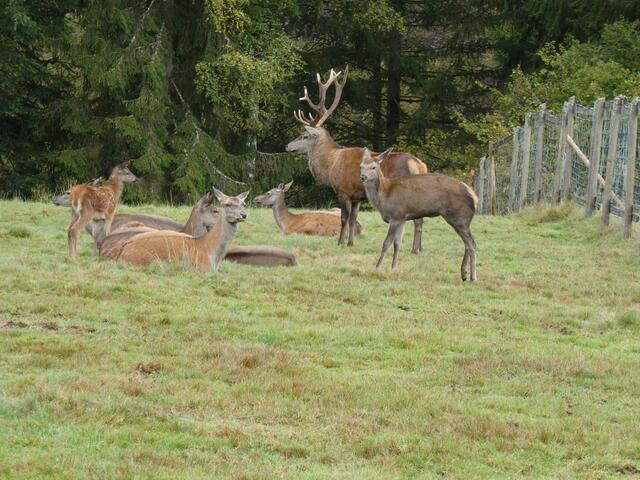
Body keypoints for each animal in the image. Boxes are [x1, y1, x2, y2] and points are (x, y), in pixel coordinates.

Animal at [286, 66, 428, 251]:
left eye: (304, 135)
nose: (287, 146)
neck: (330, 164)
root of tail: (418, 165)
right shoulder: (357, 196)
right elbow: (353, 220)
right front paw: (350, 243)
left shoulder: (343, 190)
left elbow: (344, 219)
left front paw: (340, 242)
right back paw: (419, 248)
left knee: (418, 220)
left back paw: (415, 249)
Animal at [360, 148, 478, 281]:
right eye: (361, 166)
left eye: (373, 167)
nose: (363, 177)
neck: (384, 197)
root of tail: (474, 197)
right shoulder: (402, 218)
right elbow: (397, 244)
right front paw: (394, 268)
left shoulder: (396, 215)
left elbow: (386, 243)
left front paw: (378, 268)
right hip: (457, 219)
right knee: (467, 243)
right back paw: (464, 274)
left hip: (460, 216)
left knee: (472, 243)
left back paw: (473, 277)